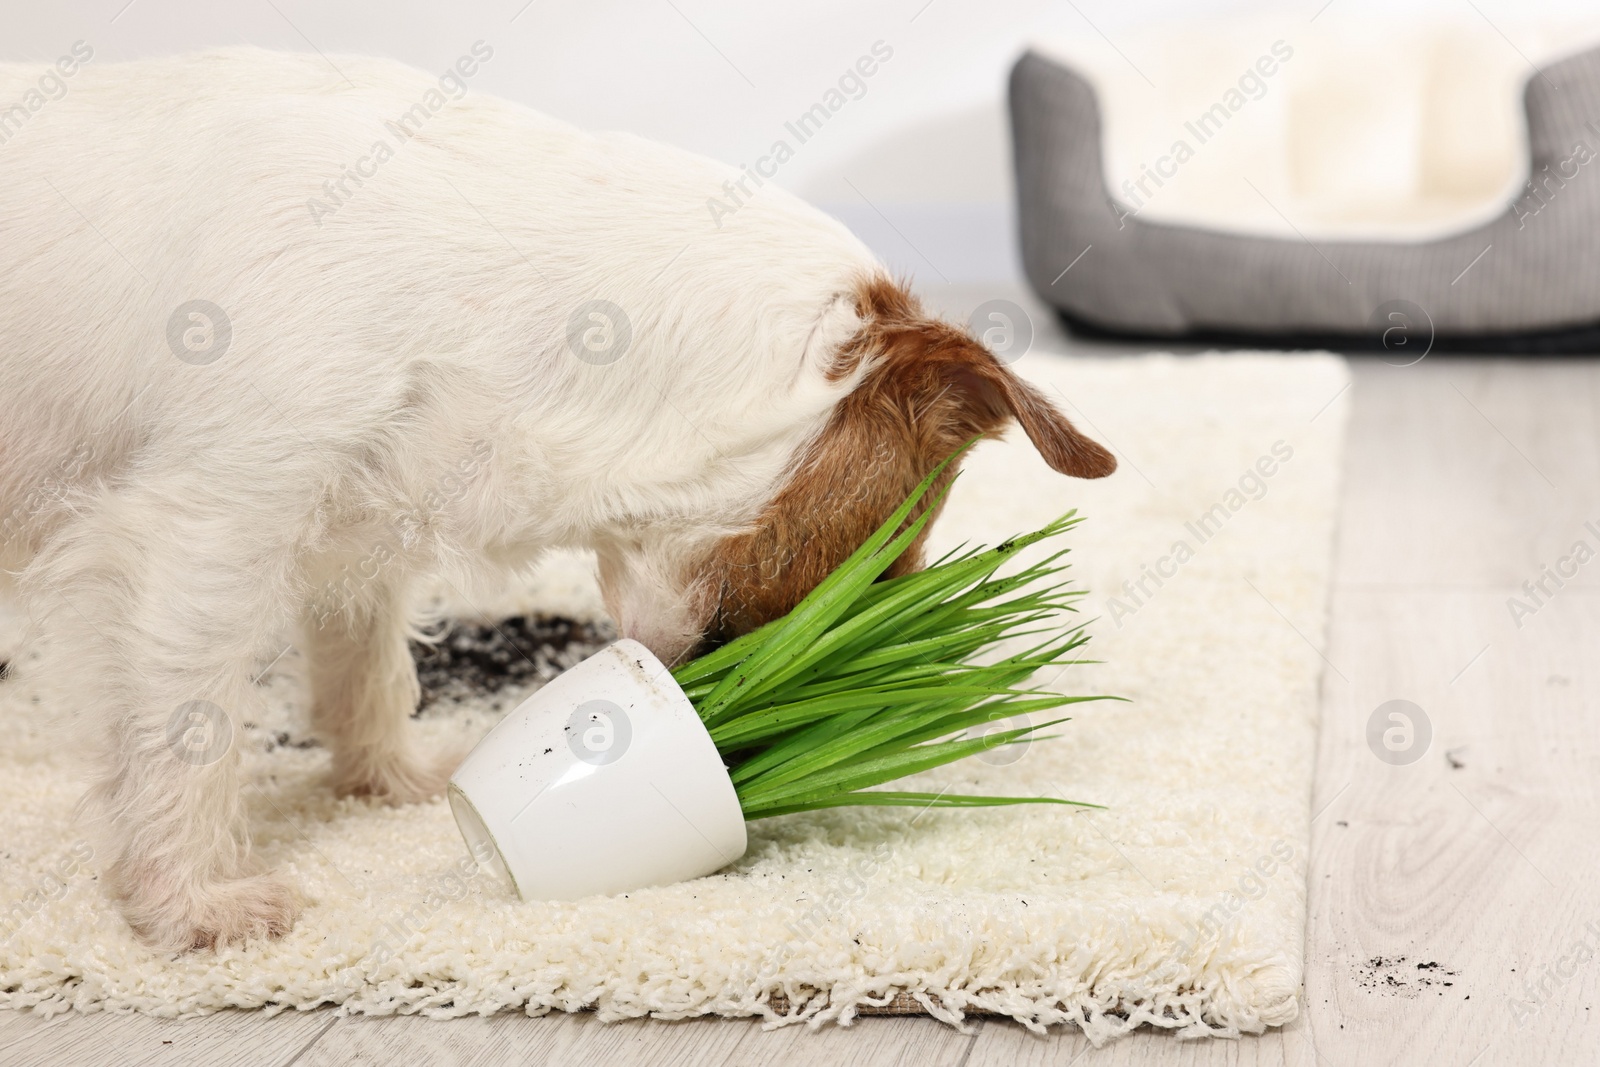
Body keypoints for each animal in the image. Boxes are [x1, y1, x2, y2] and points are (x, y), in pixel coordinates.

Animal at [0, 47, 1113, 953]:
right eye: (888, 559)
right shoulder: (205, 532)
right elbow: (184, 735)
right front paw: (188, 900)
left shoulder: (358, 520)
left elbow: (363, 668)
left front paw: (385, 779)